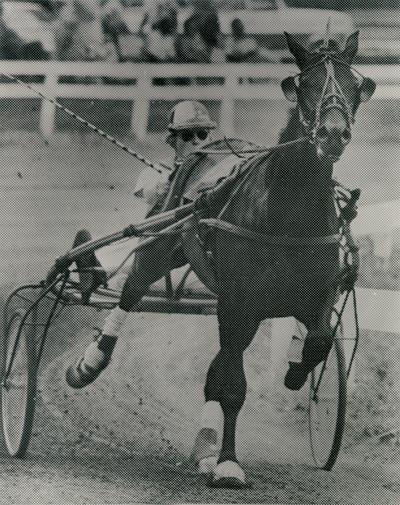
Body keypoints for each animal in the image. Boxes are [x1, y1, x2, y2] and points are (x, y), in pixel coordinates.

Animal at [181, 30, 376, 484]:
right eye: (305, 85)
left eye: (355, 85)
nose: (332, 134)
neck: (291, 214)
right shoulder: (238, 302)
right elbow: (233, 386)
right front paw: (228, 463)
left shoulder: (317, 294)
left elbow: (320, 341)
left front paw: (295, 373)